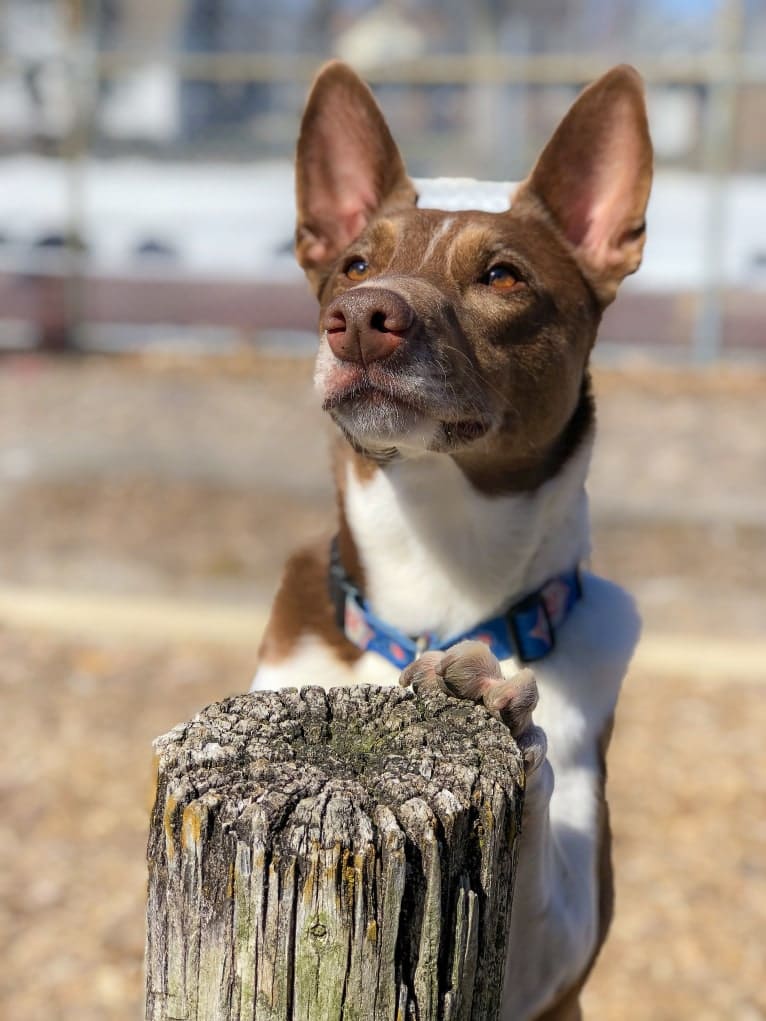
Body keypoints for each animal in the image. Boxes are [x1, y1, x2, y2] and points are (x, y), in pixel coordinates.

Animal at [252, 61, 653, 1021]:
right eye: (355, 263)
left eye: (503, 276)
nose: (360, 317)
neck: (435, 551)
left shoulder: (553, 978)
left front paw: (493, 702)